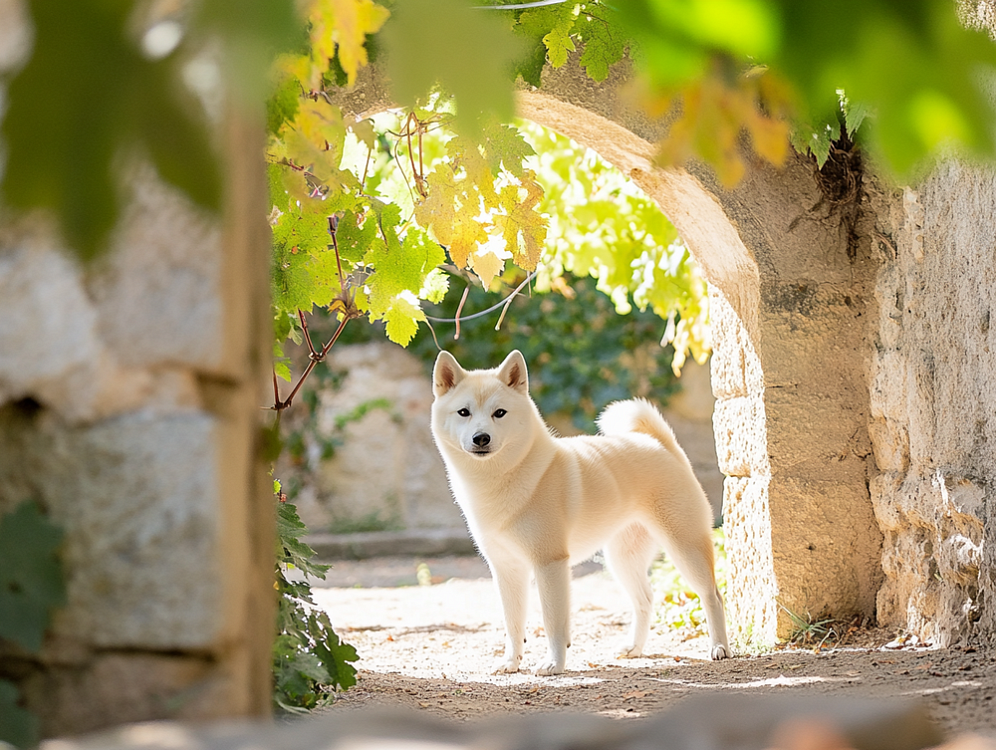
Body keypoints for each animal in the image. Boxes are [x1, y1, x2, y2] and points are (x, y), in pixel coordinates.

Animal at [430, 350, 732, 680]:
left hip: (684, 547)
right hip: (623, 559)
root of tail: (659, 444)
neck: (502, 478)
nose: (481, 438)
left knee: (712, 595)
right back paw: (634, 648)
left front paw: (554, 664)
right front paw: (511, 663)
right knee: (645, 599)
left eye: (499, 413)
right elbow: (513, 624)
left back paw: (719, 647)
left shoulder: (549, 565)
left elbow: (553, 622)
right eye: (464, 412)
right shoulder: (507, 570)